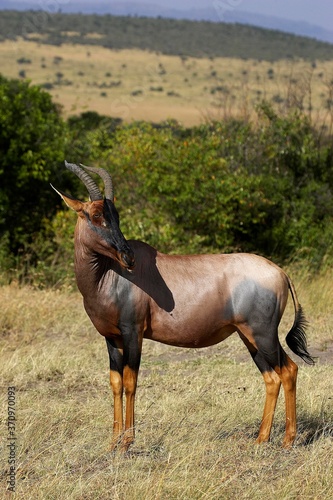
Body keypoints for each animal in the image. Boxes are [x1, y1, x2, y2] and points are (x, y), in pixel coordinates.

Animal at [52, 162, 314, 452]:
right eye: (96, 214)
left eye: (115, 215)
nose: (128, 257)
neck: (110, 274)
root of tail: (281, 272)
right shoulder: (112, 338)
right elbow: (116, 383)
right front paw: (113, 442)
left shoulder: (133, 333)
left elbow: (131, 382)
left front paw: (127, 442)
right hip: (249, 337)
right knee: (272, 377)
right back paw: (261, 439)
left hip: (263, 334)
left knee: (288, 371)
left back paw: (287, 441)